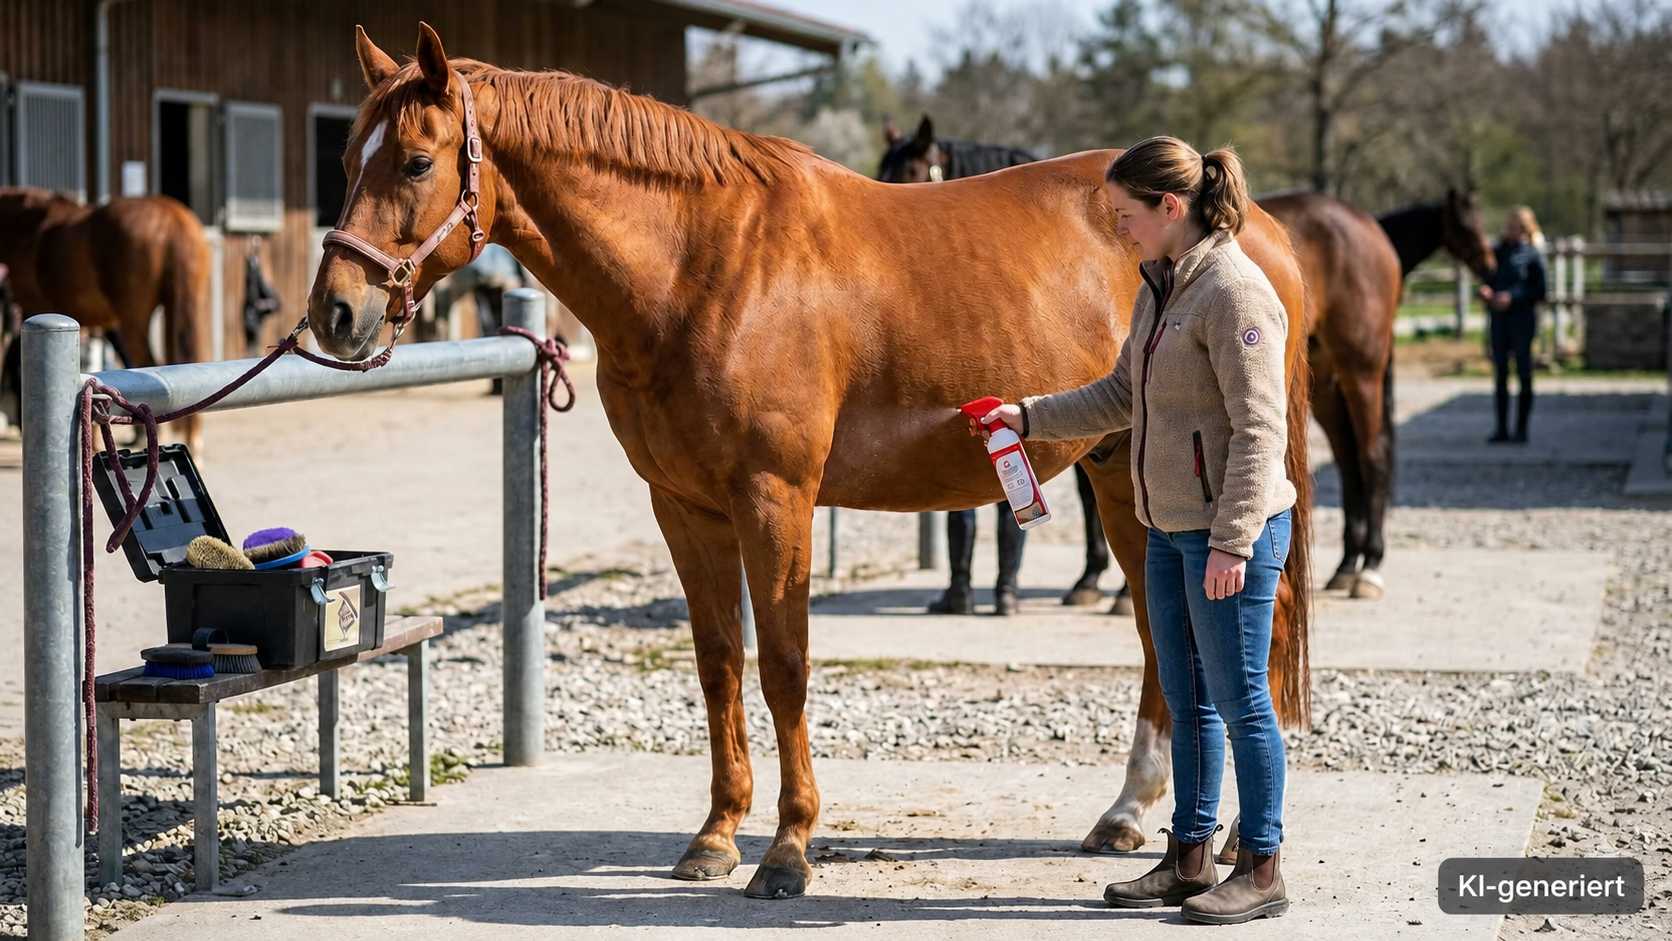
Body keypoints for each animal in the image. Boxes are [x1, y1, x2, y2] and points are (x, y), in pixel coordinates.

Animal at [312, 23, 1314, 900]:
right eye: (347, 159)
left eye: (415, 162)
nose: (335, 313)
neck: (702, 263)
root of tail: (1258, 226)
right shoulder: (685, 507)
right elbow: (720, 660)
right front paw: (716, 836)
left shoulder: (774, 498)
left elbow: (785, 663)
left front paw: (788, 850)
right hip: (1120, 473)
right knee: (1158, 631)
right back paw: (1129, 815)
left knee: (1238, 633)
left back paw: (1227, 838)